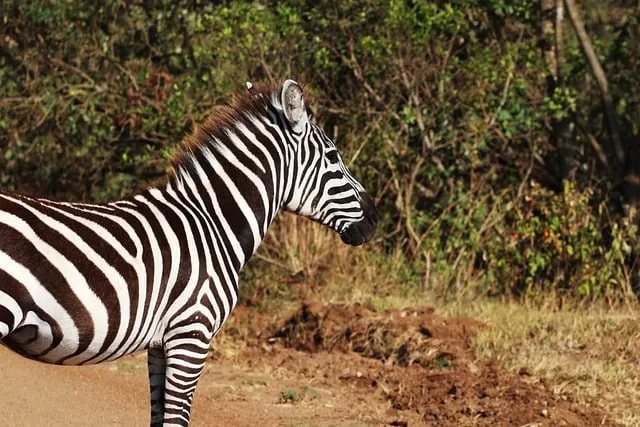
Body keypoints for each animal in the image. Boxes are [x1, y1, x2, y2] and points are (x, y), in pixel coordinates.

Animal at [0, 79, 378, 425]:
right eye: (333, 157)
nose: (374, 219)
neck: (212, 224)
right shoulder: (192, 332)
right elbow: (177, 419)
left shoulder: (160, 343)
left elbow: (159, 417)